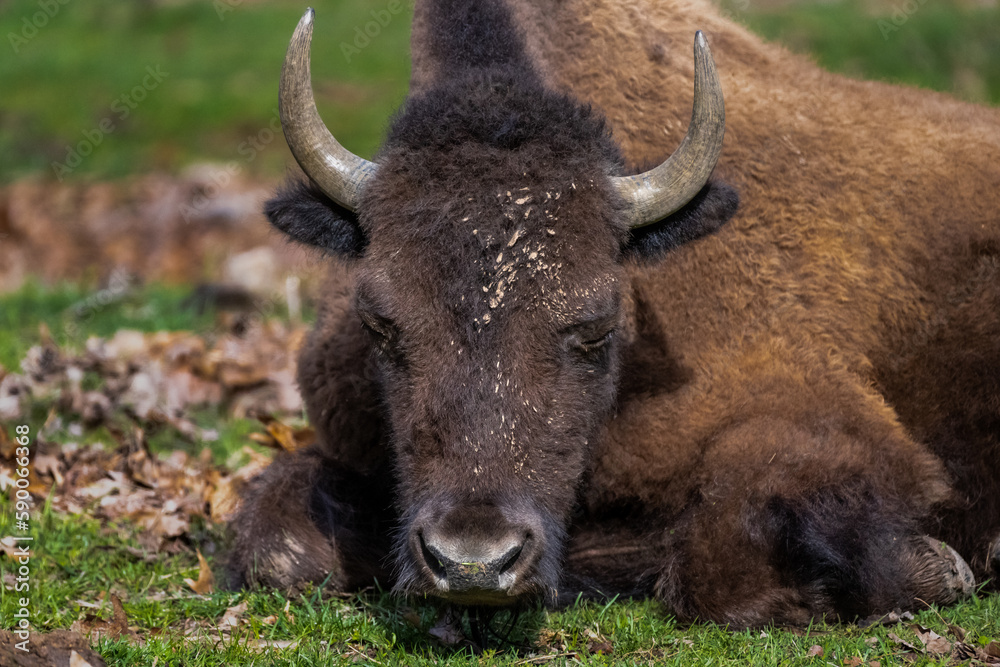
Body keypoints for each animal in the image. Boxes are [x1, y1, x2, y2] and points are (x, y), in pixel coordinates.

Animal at [230, 0, 996, 628]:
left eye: (595, 326)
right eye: (381, 324)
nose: (474, 560)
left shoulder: (834, 423)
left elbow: (720, 558)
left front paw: (940, 568)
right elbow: (279, 550)